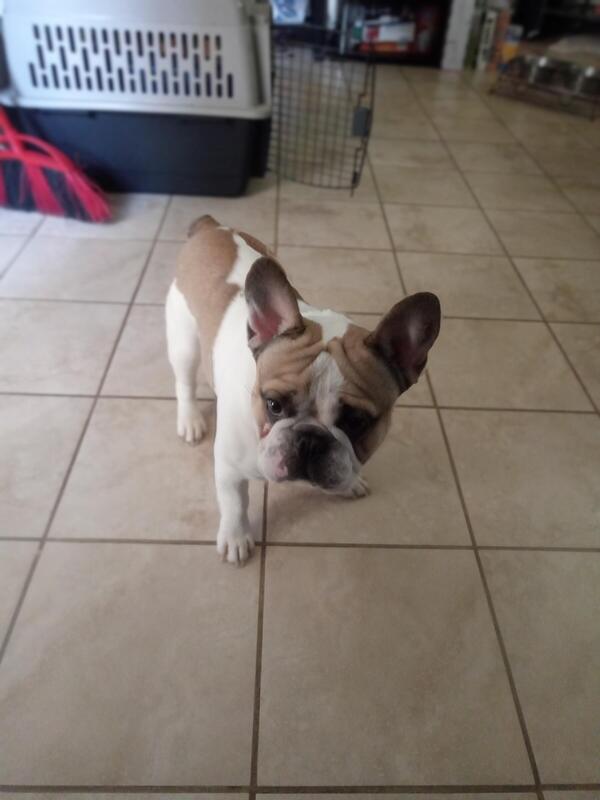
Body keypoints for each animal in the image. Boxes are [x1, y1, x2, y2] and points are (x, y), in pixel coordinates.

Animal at [166, 215, 441, 563]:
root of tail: (211, 227)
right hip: (184, 341)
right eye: (273, 405)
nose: (310, 438)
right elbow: (234, 503)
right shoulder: (229, 467)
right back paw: (190, 420)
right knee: (185, 382)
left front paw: (350, 484)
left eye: (356, 422)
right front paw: (236, 537)